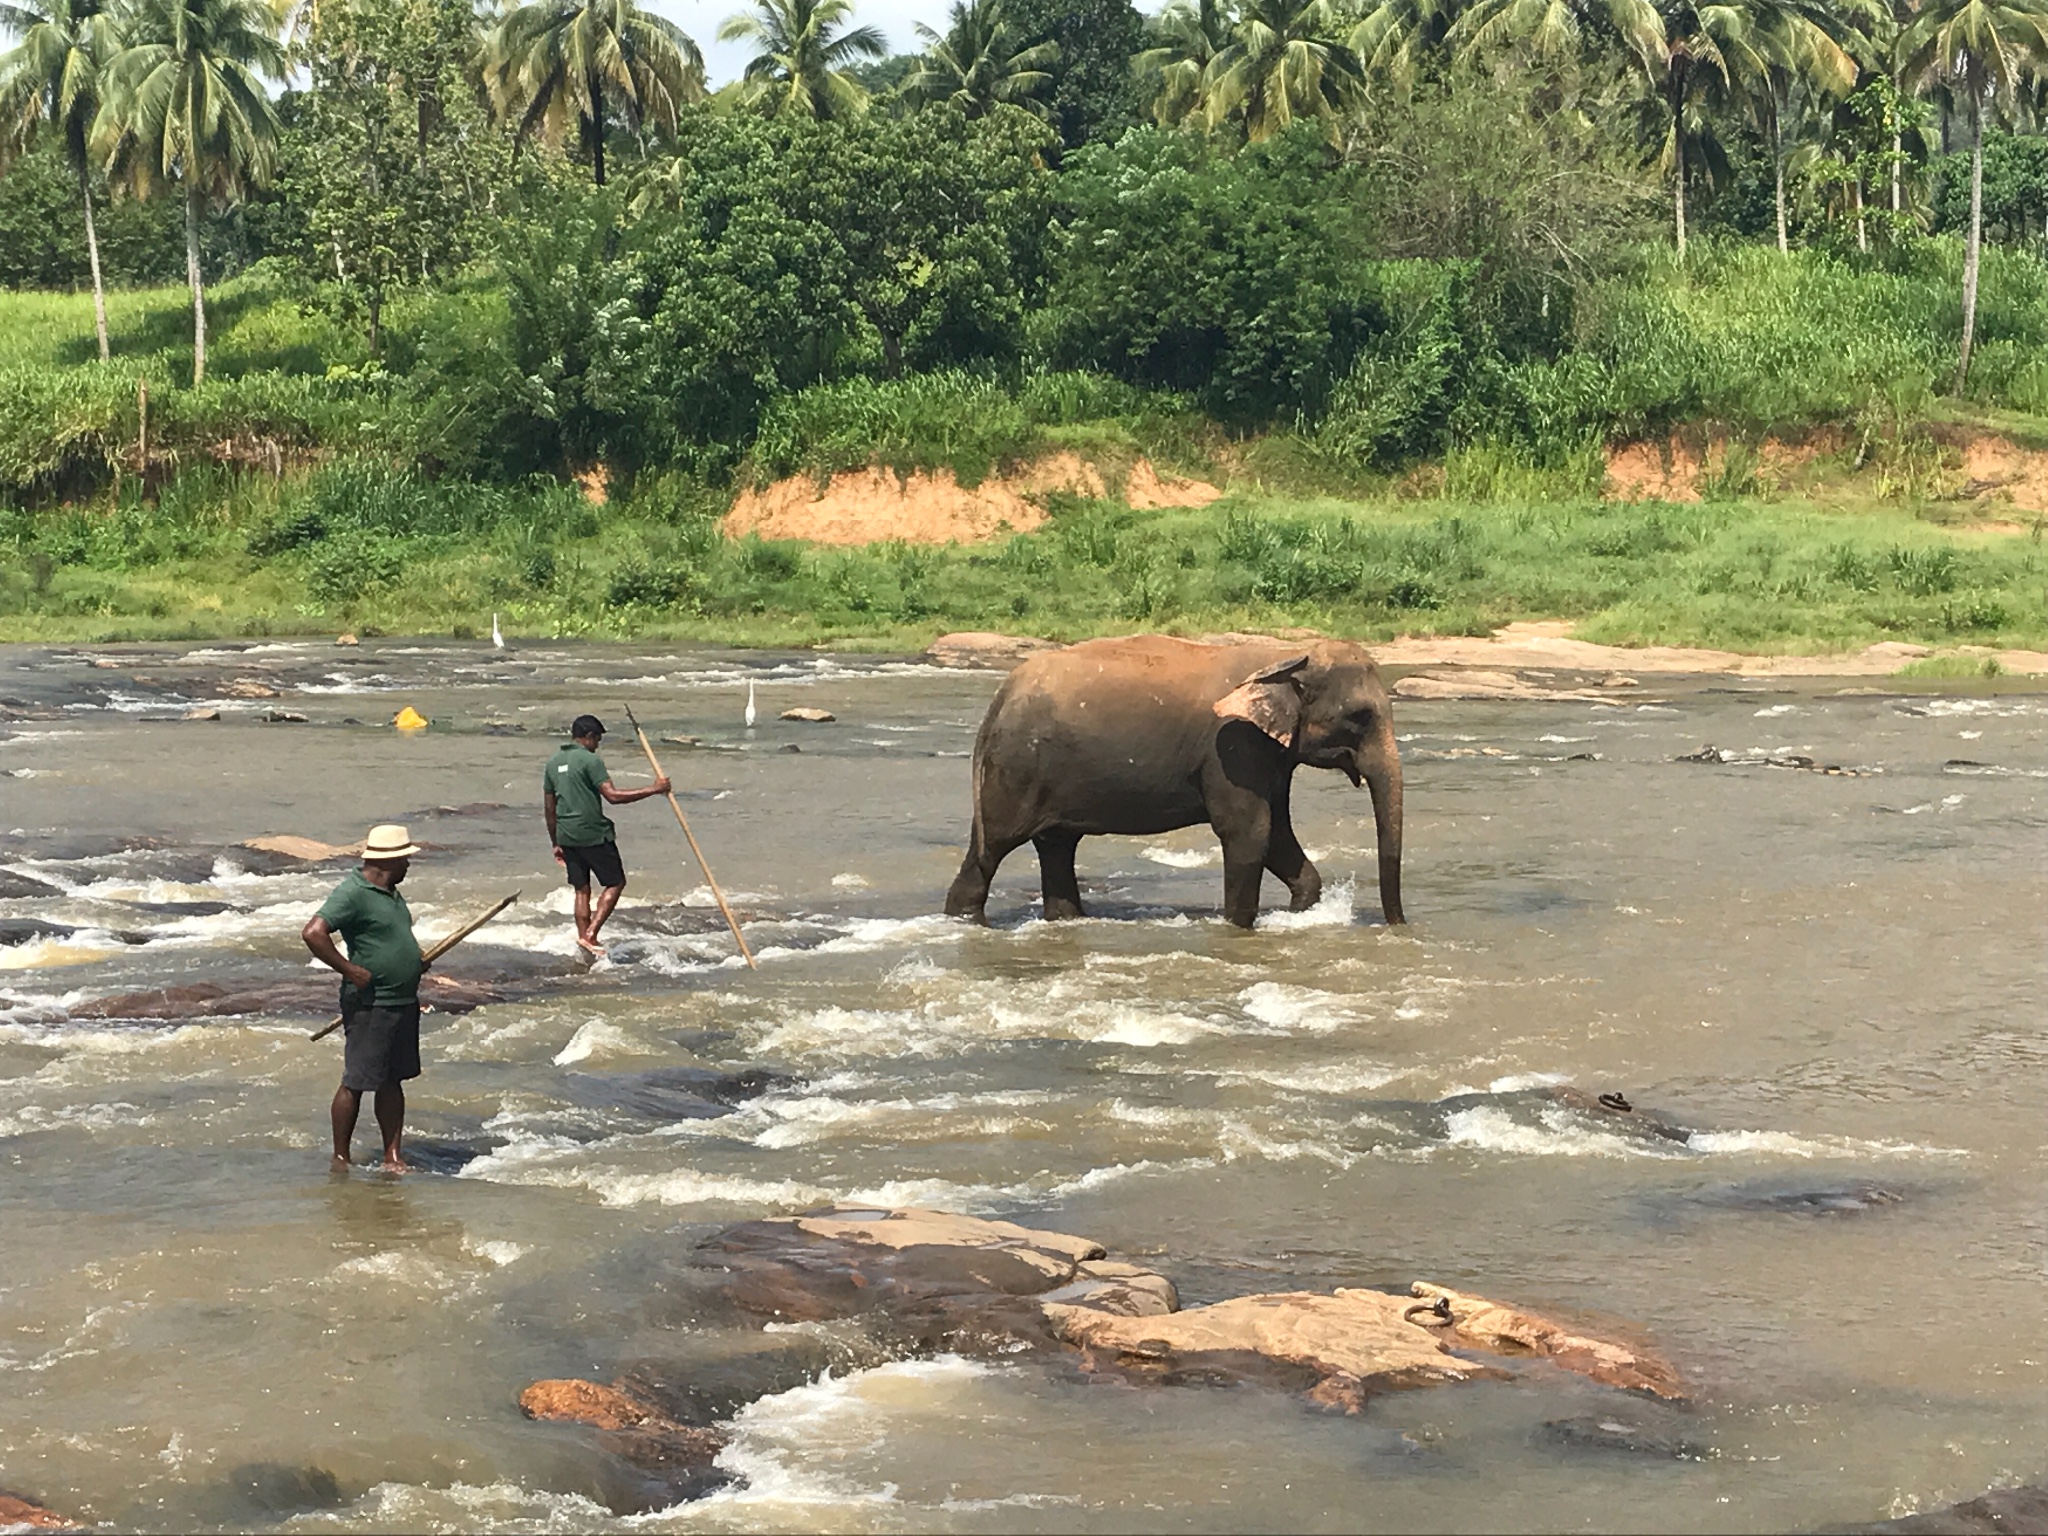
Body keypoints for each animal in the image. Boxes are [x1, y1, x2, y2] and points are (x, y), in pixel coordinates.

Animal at [946, 634, 1409, 933]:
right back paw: (966, 921)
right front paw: (1238, 929)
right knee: (994, 847)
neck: (1285, 656)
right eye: (1361, 716)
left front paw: (1299, 915)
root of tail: (1001, 695)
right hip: (1017, 767)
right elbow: (1250, 832)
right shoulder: (1233, 747)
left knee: (1057, 846)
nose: (1399, 926)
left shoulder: (1268, 754)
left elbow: (1277, 833)